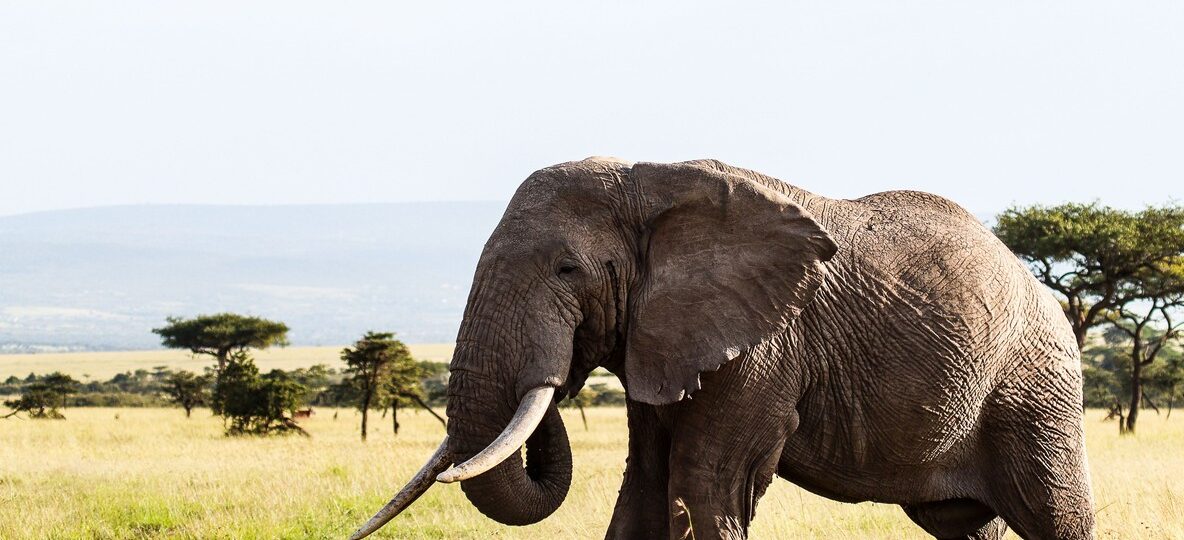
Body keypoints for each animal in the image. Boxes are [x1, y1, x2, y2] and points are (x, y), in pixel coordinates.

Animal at [351, 158, 1095, 540]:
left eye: (567, 270)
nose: (560, 376)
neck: (647, 180)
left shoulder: (765, 344)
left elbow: (706, 484)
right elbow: (646, 486)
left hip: (1037, 388)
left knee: (1055, 513)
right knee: (966, 527)